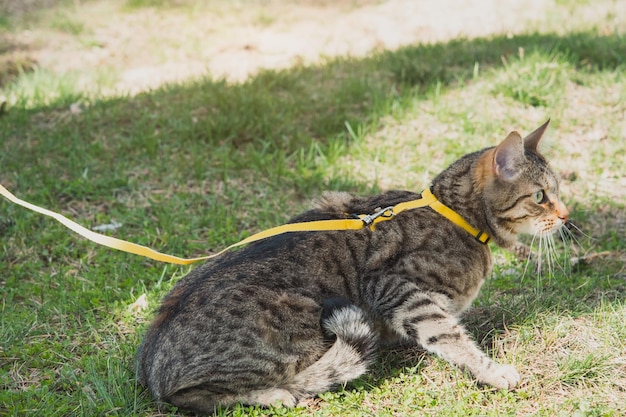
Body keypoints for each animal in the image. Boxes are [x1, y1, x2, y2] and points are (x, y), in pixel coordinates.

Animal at [135, 120, 564, 412]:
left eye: (559, 192)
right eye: (540, 196)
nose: (565, 215)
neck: (457, 215)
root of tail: (150, 373)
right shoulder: (395, 287)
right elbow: (448, 334)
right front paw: (491, 370)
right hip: (294, 322)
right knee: (191, 396)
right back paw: (275, 394)